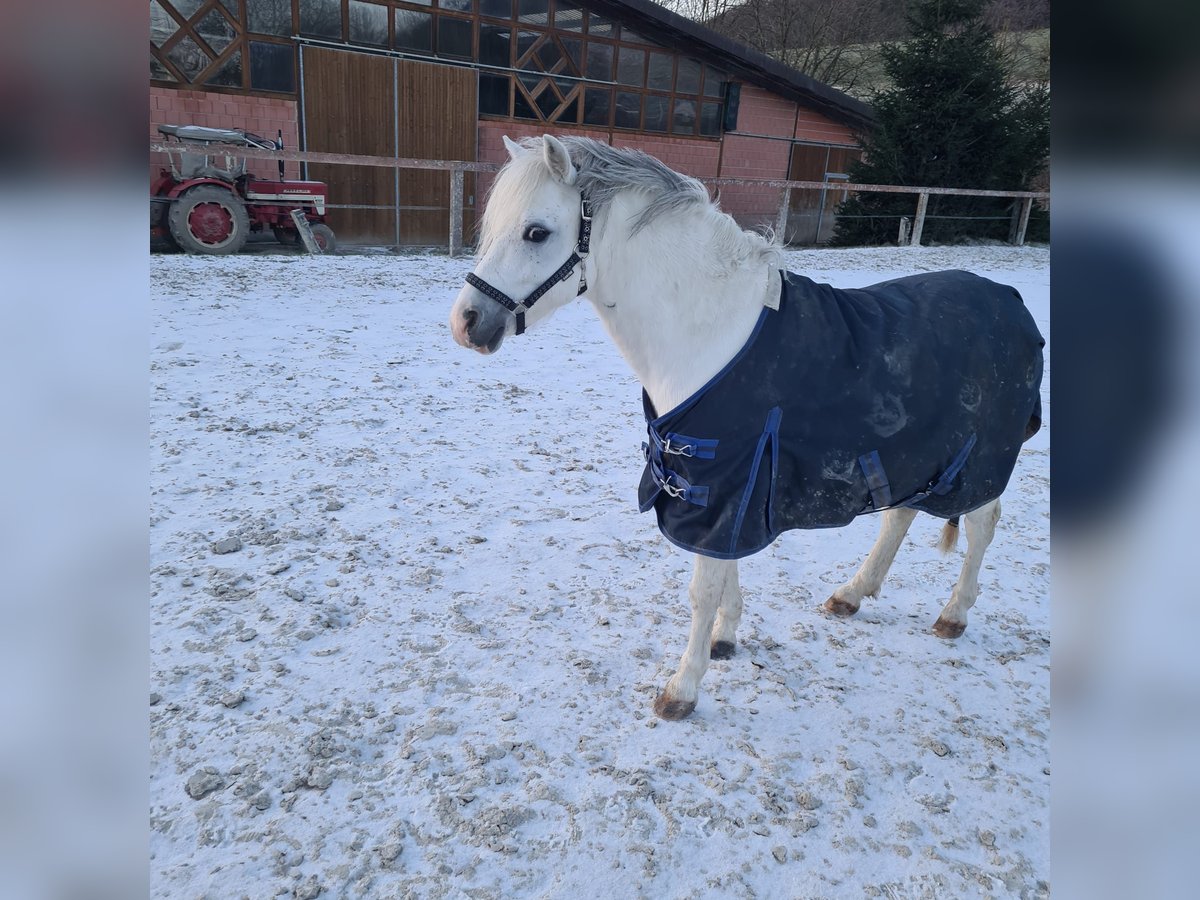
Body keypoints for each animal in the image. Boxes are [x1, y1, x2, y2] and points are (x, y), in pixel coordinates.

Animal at [451, 135, 1041, 724]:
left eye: (536, 232)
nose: (465, 322)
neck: (709, 332)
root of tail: (1010, 300)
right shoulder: (724, 487)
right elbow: (724, 569)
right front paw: (725, 639)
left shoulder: (725, 481)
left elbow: (702, 587)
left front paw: (682, 690)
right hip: (915, 455)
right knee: (900, 515)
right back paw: (851, 594)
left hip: (979, 460)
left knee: (982, 524)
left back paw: (954, 615)